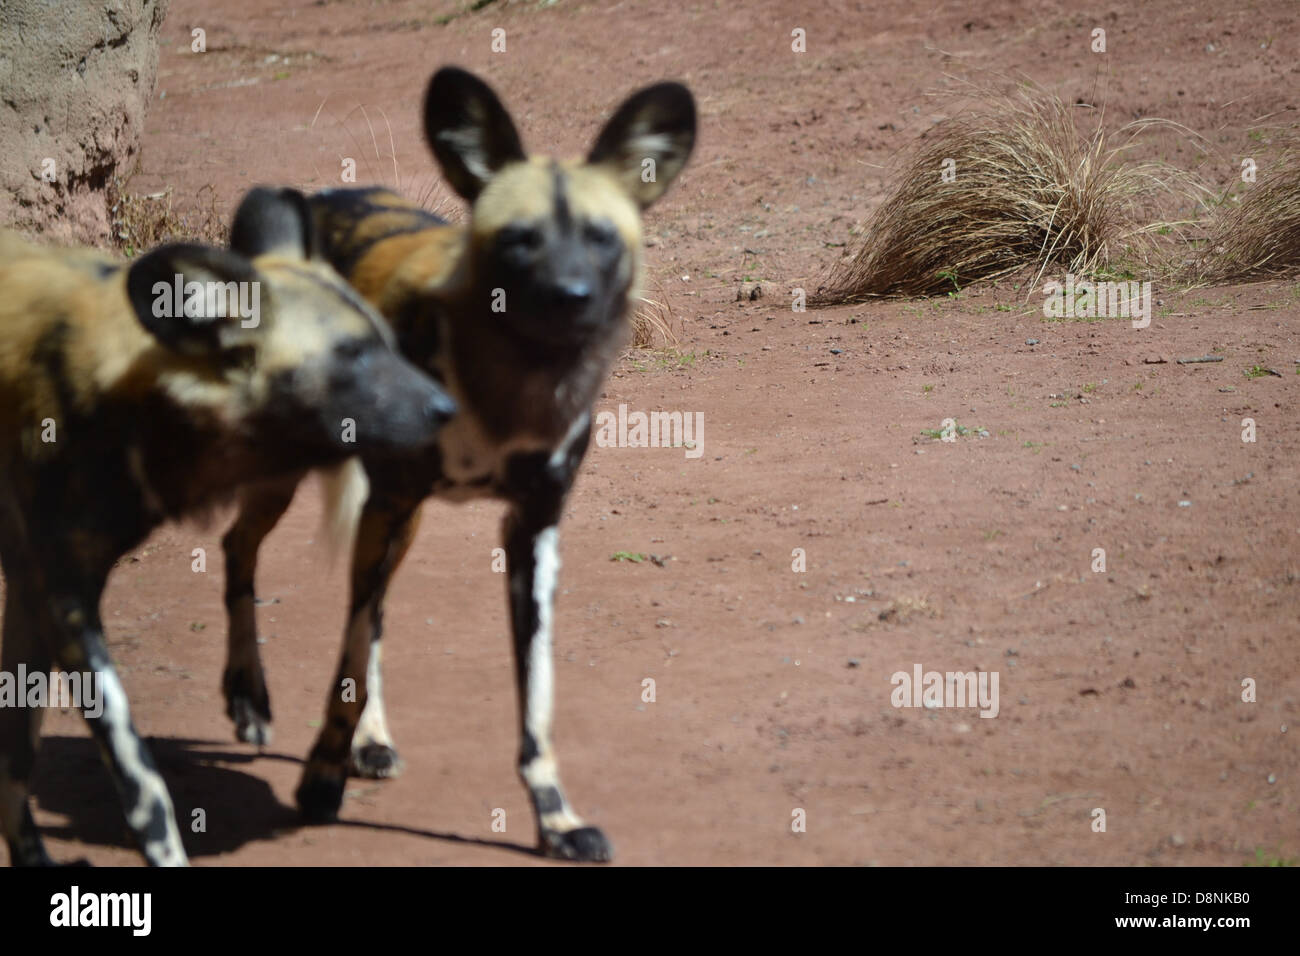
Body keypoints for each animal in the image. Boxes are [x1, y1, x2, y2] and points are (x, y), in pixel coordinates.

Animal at [0, 187, 457, 868]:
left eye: (390, 345)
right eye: (351, 355)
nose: (446, 409)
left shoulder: (37, 595)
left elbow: (15, 760)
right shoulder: (63, 602)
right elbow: (141, 782)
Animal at [218, 65, 696, 858]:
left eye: (600, 238)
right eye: (520, 240)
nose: (570, 298)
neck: (512, 387)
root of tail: (321, 197)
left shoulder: (530, 535)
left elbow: (534, 702)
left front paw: (556, 819)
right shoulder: (392, 506)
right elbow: (347, 662)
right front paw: (319, 783)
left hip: (393, 521)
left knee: (368, 614)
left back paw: (370, 740)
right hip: (301, 479)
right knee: (240, 551)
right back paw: (249, 700)